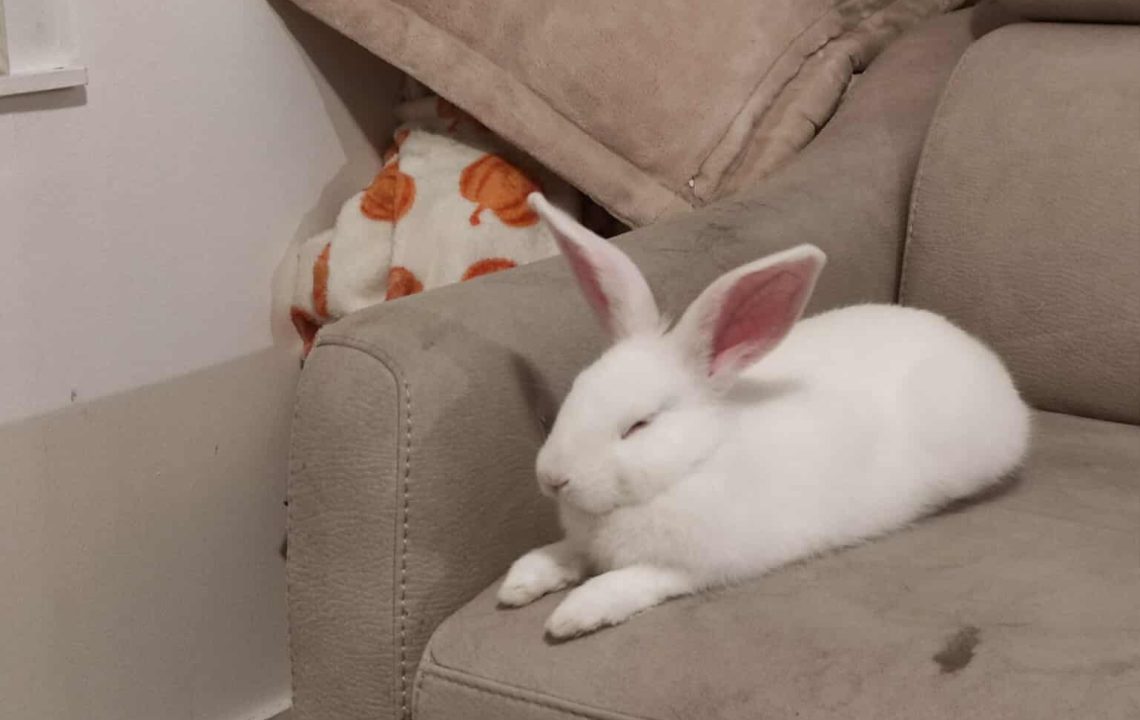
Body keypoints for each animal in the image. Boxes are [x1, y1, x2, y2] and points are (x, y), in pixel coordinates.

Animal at [499, 192, 1031, 640]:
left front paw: (573, 615)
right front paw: (519, 583)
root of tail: (986, 362)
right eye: (576, 389)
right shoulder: (585, 544)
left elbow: (630, 580)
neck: (695, 462)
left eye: (639, 425)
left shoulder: (691, 567)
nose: (553, 478)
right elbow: (560, 553)